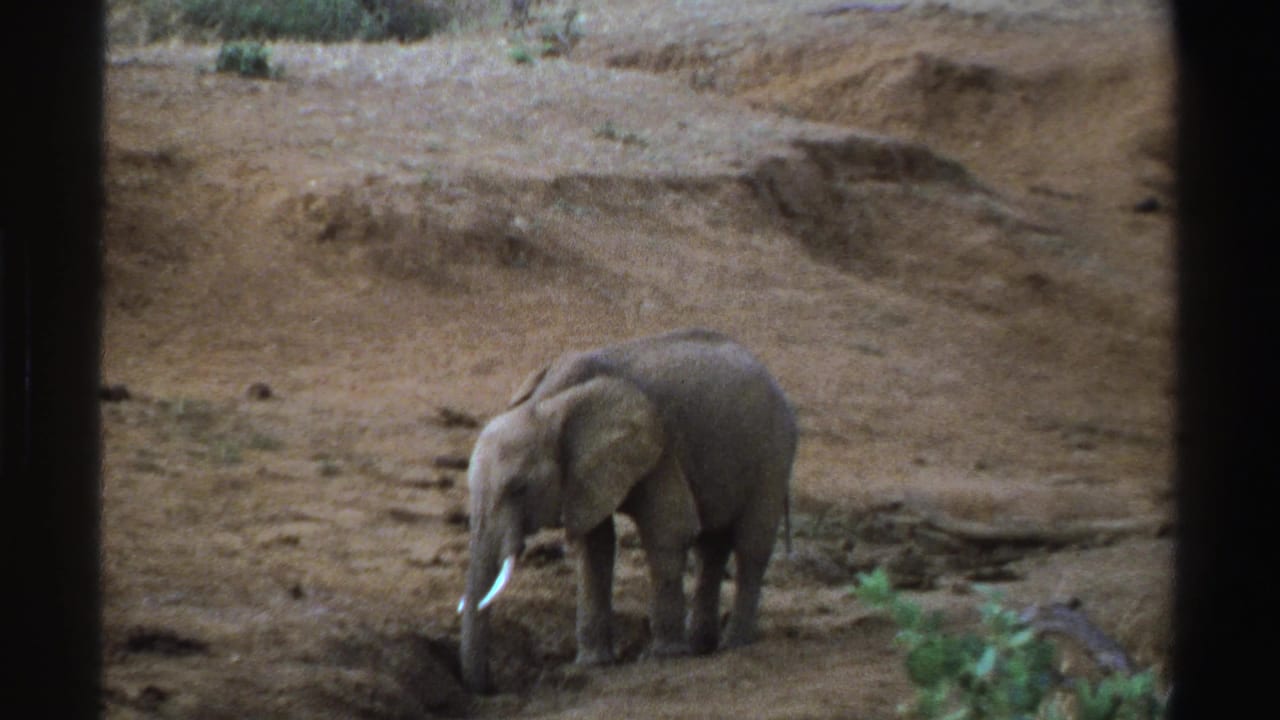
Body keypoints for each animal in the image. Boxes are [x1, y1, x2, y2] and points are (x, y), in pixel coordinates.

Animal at [457, 328, 797, 692]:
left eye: (519, 488)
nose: (489, 688)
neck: (547, 404)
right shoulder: (585, 473)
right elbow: (595, 544)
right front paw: (593, 663)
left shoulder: (659, 446)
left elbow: (668, 528)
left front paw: (663, 657)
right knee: (711, 547)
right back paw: (702, 647)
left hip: (773, 455)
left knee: (750, 545)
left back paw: (734, 644)